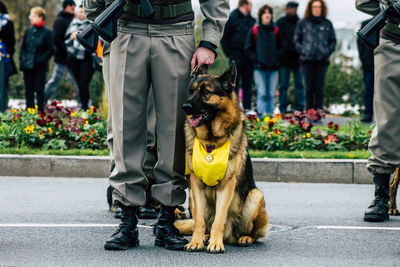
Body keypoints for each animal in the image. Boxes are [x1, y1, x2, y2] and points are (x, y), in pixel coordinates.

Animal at [175, 63, 268, 254]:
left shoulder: (227, 186)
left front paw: (216, 244)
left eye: (206, 92)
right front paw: (196, 241)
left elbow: (219, 219)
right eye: (191, 91)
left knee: (254, 233)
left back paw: (243, 238)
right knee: (203, 223)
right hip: (192, 199)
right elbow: (199, 221)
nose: (185, 107)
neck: (212, 141)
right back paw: (205, 237)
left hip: (255, 196)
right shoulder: (196, 185)